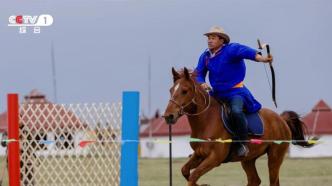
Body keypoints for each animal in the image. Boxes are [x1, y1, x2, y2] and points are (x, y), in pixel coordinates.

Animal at [165, 67, 316, 186]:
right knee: (254, 180)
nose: (168, 116)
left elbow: (193, 176)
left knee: (273, 182)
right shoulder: (199, 154)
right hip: (248, 160)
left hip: (275, 157)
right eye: (171, 90)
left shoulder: (214, 158)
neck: (206, 122)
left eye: (184, 91)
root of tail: (281, 119)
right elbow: (186, 171)